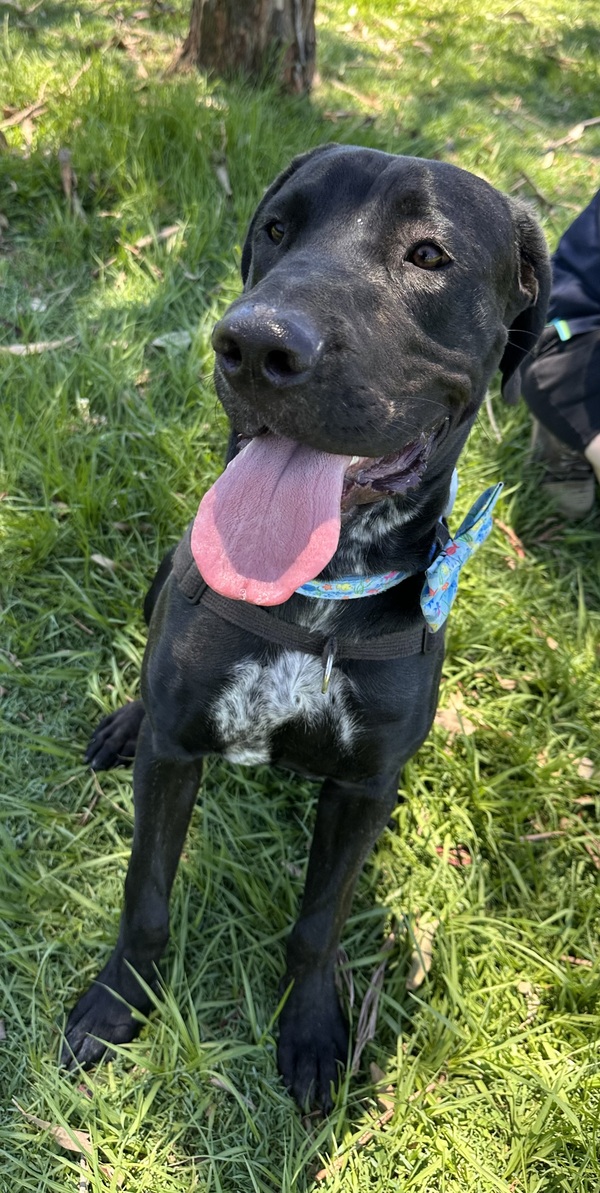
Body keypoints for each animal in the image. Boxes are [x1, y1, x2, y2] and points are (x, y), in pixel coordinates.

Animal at [62, 145, 550, 1110]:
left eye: (429, 255)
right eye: (278, 228)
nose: (255, 342)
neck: (317, 593)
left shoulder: (362, 788)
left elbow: (319, 922)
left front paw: (315, 1028)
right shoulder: (176, 754)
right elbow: (145, 894)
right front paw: (115, 1001)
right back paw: (122, 721)